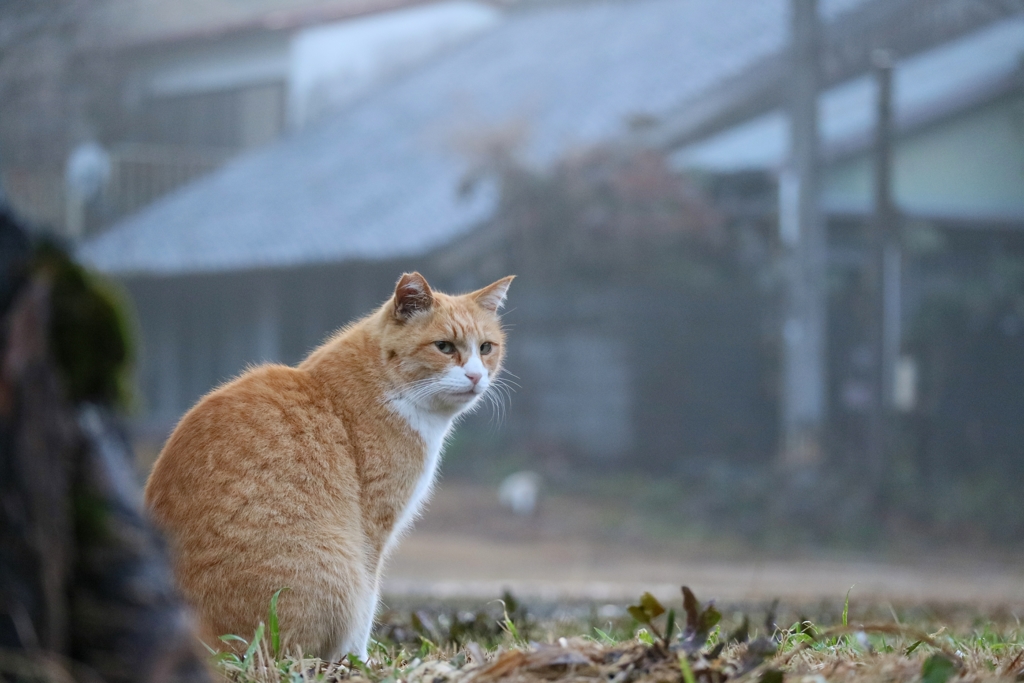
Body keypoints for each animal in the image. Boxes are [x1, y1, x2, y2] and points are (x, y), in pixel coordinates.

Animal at [144, 274, 512, 663]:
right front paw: (359, 660)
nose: (475, 376)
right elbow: (368, 601)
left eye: (486, 348)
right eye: (444, 346)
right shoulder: (373, 529)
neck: (385, 382)